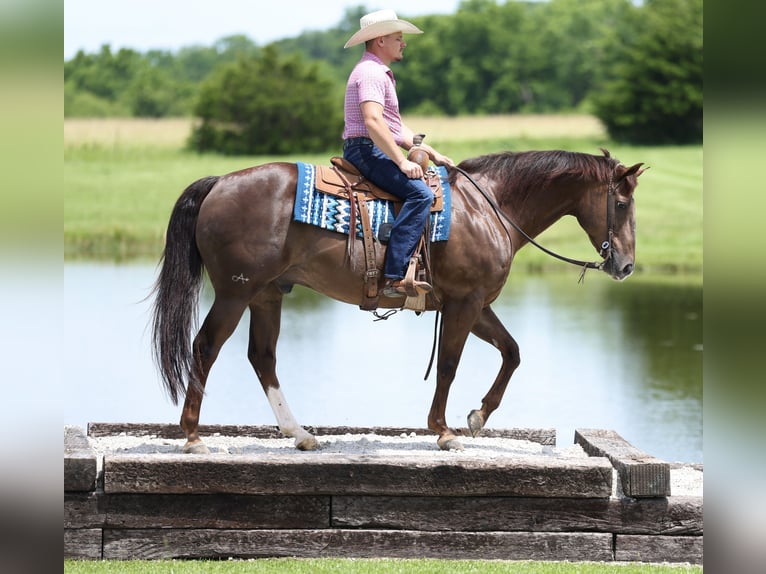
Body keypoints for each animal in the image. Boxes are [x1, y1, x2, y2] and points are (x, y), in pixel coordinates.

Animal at [151, 148, 644, 453]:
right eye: (621, 203)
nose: (625, 265)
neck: (490, 207)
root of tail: (219, 183)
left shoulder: (476, 305)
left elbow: (512, 352)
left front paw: (478, 416)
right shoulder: (464, 304)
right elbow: (449, 365)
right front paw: (444, 431)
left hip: (267, 294)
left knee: (262, 357)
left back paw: (299, 433)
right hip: (235, 292)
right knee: (205, 348)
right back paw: (193, 437)